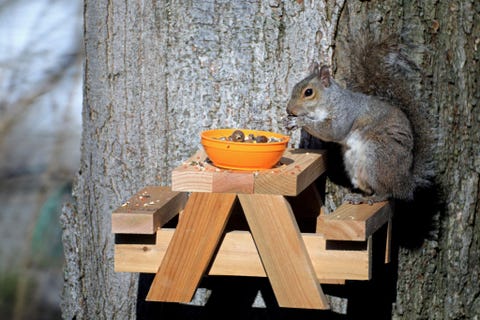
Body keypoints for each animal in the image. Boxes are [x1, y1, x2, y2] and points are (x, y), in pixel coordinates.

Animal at [284, 32, 436, 205]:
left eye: (308, 92)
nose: (289, 109)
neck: (330, 101)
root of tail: (406, 183)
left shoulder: (345, 115)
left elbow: (331, 131)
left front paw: (299, 121)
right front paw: (290, 121)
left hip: (377, 156)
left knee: (386, 192)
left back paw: (375, 198)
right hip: (353, 163)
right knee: (369, 188)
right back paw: (358, 198)